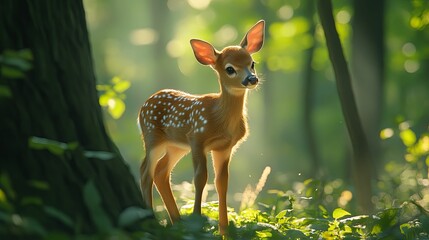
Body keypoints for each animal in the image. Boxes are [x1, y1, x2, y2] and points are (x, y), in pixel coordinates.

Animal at [139, 19, 262, 233]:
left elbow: (221, 182)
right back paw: (153, 221)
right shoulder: (197, 138)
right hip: (152, 136)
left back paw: (177, 221)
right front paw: (197, 220)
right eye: (230, 69)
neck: (221, 118)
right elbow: (200, 178)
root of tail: (143, 106)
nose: (252, 79)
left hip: (176, 145)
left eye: (252, 63)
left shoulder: (224, 147)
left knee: (160, 172)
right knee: (146, 172)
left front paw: (224, 230)